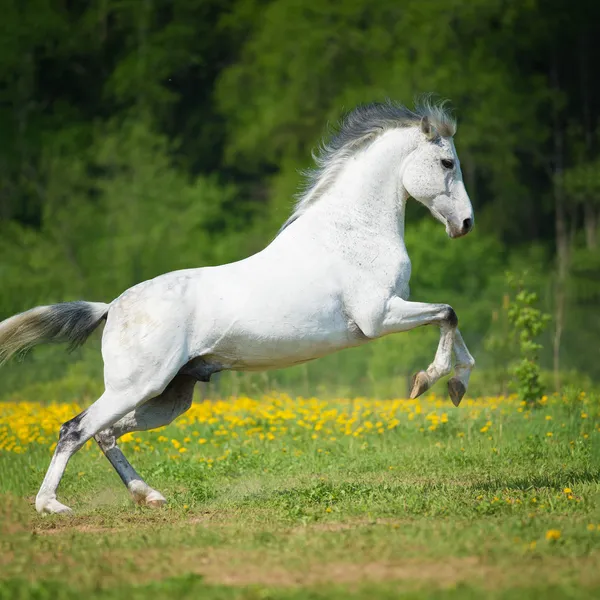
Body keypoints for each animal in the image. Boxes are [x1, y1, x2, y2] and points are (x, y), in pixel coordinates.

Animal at [1, 97, 478, 510]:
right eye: (447, 163)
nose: (466, 224)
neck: (351, 232)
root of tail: (112, 307)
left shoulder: (392, 312)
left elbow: (453, 322)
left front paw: (456, 386)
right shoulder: (379, 317)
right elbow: (448, 313)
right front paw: (426, 381)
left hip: (169, 396)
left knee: (105, 434)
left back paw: (149, 496)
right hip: (135, 386)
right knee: (75, 429)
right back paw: (51, 506)